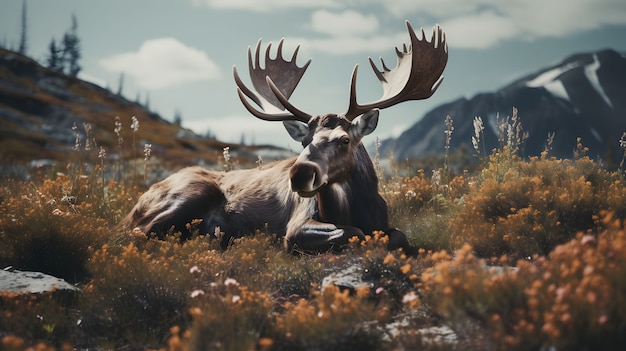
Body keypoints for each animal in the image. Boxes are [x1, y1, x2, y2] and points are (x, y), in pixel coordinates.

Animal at [119, 20, 446, 254]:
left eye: (345, 139)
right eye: (304, 140)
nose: (300, 173)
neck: (356, 209)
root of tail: (136, 204)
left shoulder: (385, 222)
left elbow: (399, 236)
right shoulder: (296, 225)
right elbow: (351, 233)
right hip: (190, 192)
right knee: (136, 233)